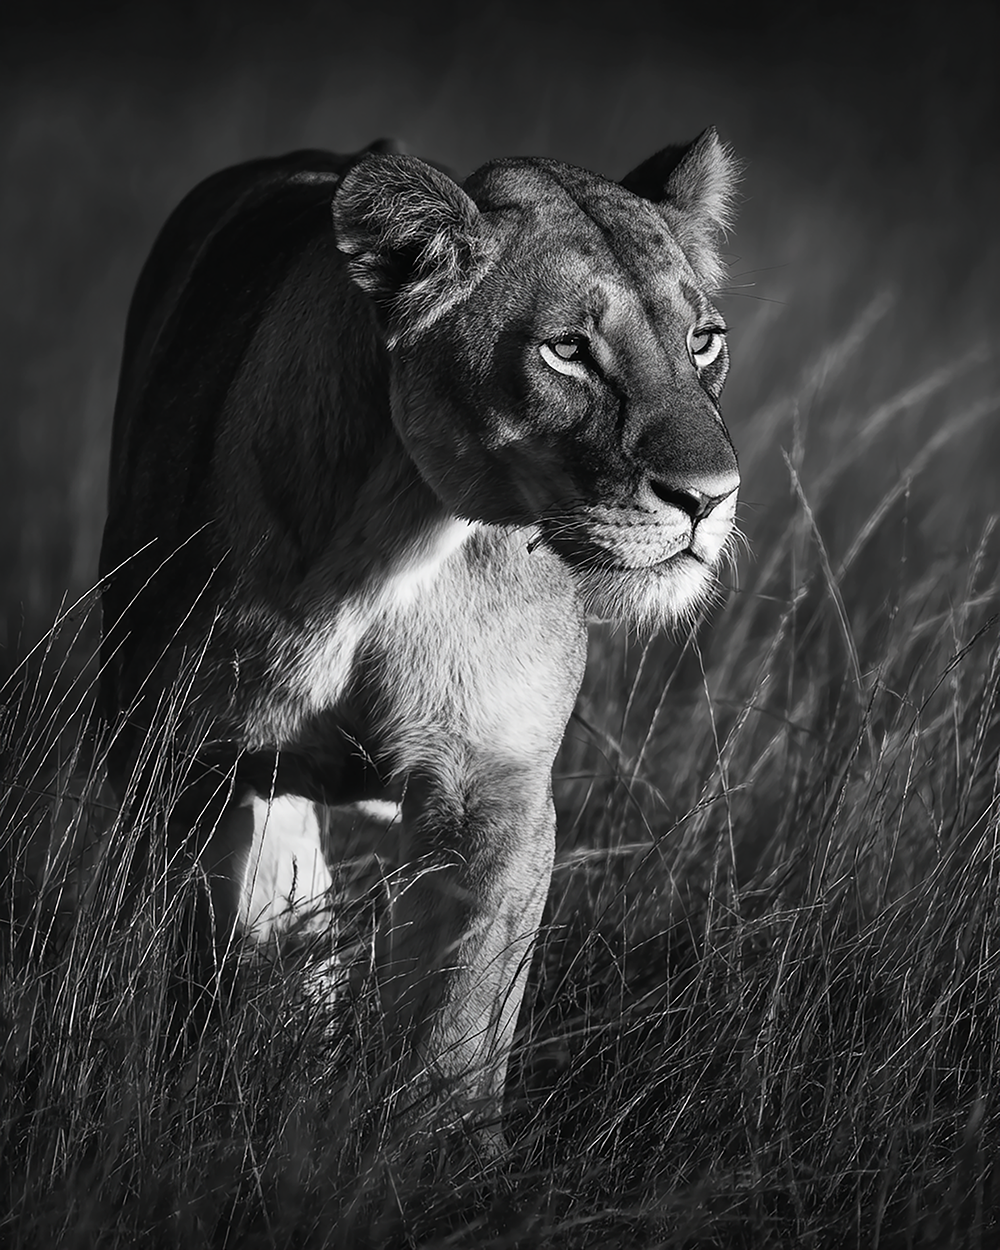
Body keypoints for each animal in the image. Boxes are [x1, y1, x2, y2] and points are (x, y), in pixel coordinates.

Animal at [99, 130, 740, 1141]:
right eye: (567, 351)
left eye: (702, 339)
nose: (711, 499)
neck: (399, 541)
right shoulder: (186, 760)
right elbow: (201, 957)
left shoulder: (495, 783)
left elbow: (462, 1019)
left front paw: (437, 1152)